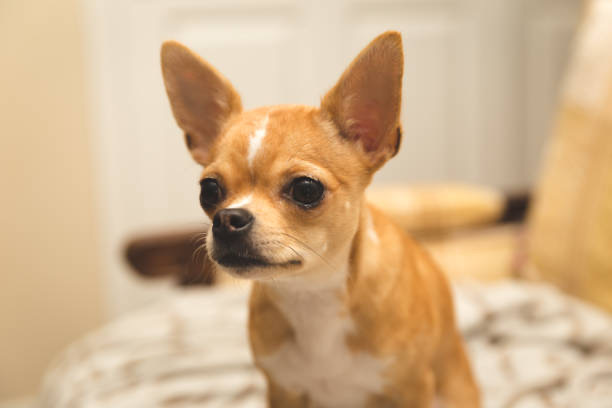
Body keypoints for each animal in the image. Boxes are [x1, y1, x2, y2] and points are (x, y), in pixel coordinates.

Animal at [161, 31, 480, 408]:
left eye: (305, 189)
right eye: (209, 190)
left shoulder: (410, 388)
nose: (227, 219)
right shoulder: (283, 390)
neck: (312, 296)